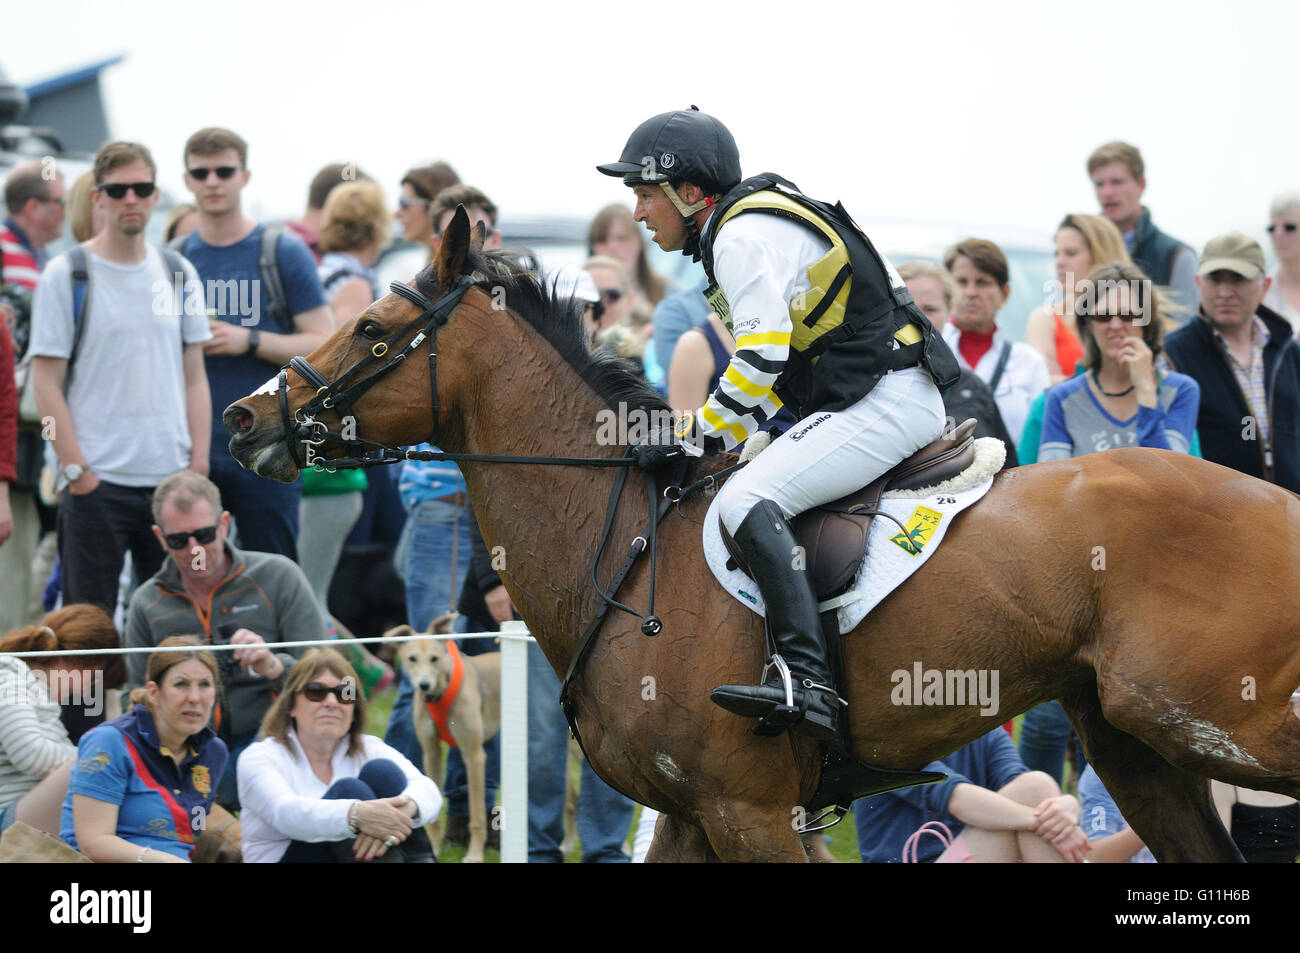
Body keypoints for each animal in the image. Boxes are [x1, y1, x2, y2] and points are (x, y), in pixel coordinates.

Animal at [223, 210, 1300, 863]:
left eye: (370, 331)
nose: (242, 417)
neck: (625, 550)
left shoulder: (750, 809)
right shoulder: (693, 813)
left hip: (1202, 713)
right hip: (1131, 743)